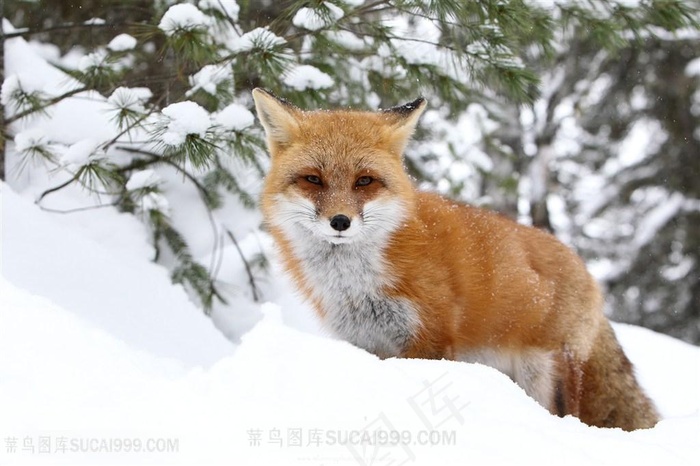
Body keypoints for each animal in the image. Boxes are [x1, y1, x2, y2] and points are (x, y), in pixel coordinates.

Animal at [254, 89, 660, 432]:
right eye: (313, 179)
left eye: (364, 181)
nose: (340, 221)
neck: (357, 285)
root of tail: (586, 270)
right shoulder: (367, 344)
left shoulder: (429, 339)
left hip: (546, 375)